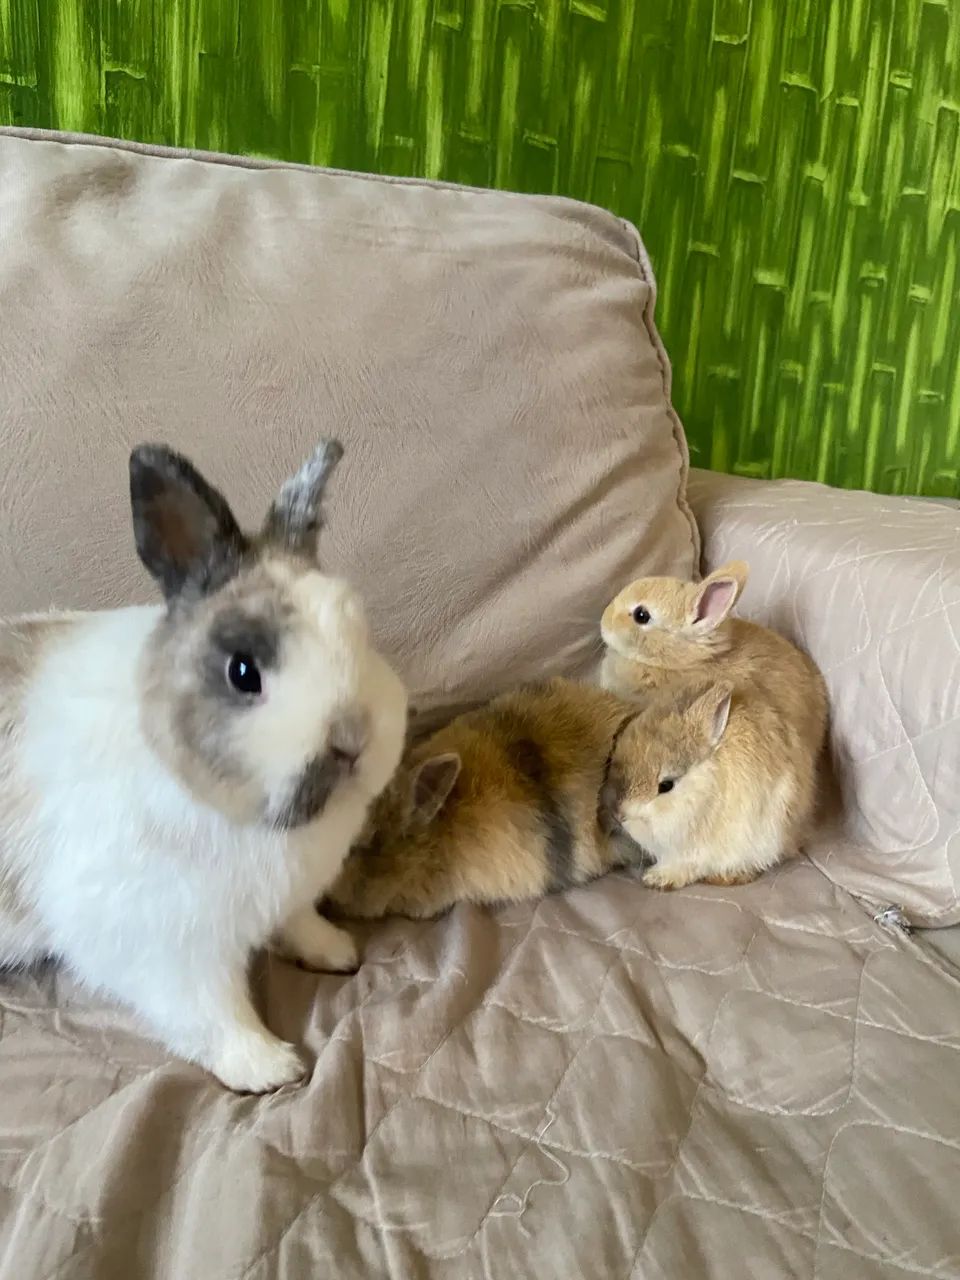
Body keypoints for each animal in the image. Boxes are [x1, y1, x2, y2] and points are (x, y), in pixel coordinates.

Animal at [0, 440, 407, 1092]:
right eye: (243, 671)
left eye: (359, 630)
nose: (352, 741)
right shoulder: (166, 947)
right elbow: (211, 1014)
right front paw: (268, 1065)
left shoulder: (285, 900)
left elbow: (299, 923)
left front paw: (336, 949)